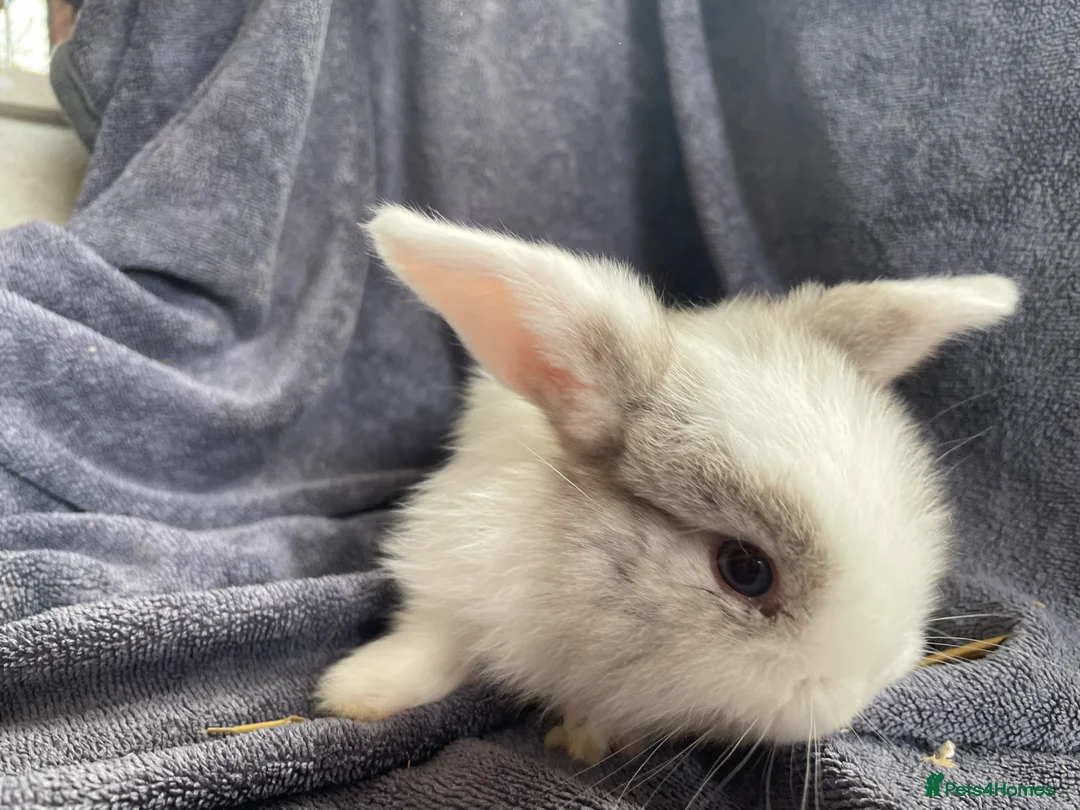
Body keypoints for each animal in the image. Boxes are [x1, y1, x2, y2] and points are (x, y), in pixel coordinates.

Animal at [315, 204, 1019, 763]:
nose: (852, 697)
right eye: (744, 569)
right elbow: (433, 640)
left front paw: (591, 735)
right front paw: (354, 694)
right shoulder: (453, 568)